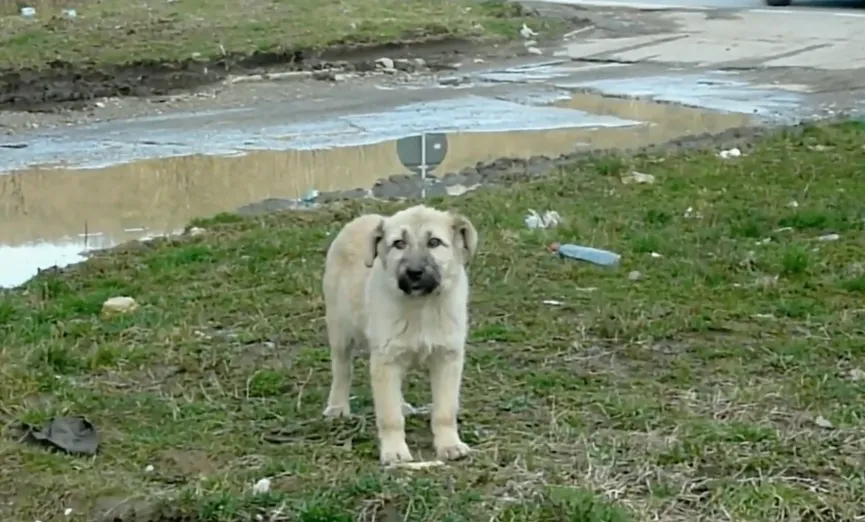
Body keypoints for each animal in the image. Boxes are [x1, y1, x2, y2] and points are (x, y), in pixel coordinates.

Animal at [318, 203, 476, 464]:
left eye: (434, 242)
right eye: (399, 243)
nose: (414, 272)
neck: (421, 306)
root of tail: (361, 219)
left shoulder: (447, 358)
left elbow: (445, 410)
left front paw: (449, 444)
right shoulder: (385, 360)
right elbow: (389, 415)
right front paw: (394, 451)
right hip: (340, 329)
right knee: (342, 369)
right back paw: (337, 407)